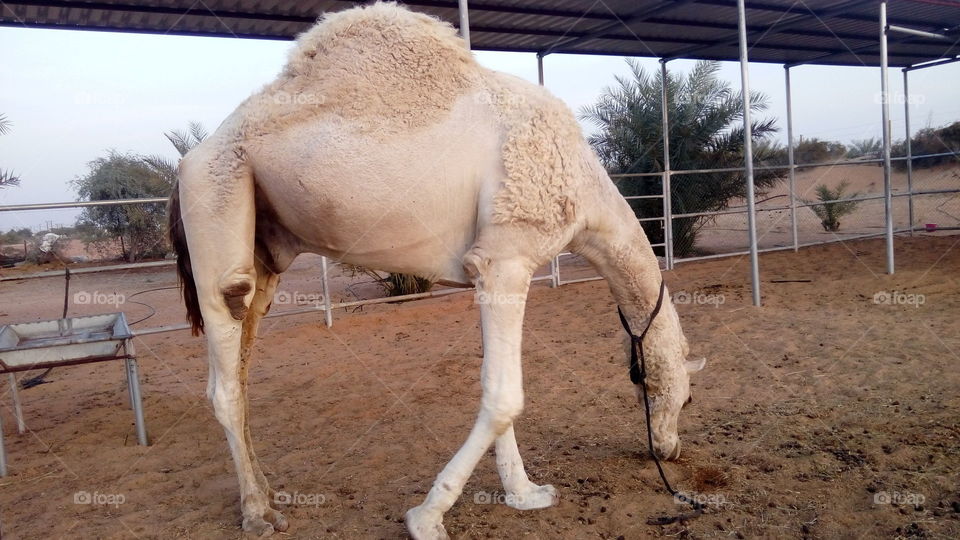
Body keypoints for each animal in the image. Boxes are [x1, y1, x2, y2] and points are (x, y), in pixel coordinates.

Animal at [168, 3, 705, 538]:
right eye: (686, 399)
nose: (669, 448)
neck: (585, 193)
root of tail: (188, 160)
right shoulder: (508, 256)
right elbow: (505, 396)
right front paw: (427, 516)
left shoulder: (489, 269)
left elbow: (495, 388)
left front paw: (524, 493)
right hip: (217, 200)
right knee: (223, 372)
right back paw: (257, 514)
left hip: (265, 251)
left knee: (241, 367)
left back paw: (269, 496)